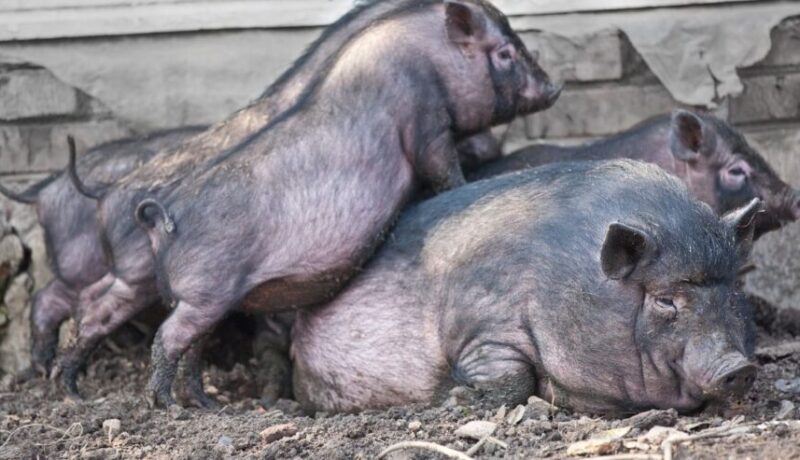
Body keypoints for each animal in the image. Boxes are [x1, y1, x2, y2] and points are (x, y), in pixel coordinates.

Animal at [54, 0, 560, 408]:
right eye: (505, 54)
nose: (554, 88)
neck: (424, 57)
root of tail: (162, 217)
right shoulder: (428, 125)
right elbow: (443, 170)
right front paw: (463, 182)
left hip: (186, 295)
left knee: (124, 321)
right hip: (203, 291)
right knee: (166, 336)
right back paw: (162, 404)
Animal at [291, 160, 760, 415]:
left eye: (733, 291)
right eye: (665, 300)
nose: (738, 367)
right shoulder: (482, 325)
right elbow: (509, 379)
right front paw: (457, 397)